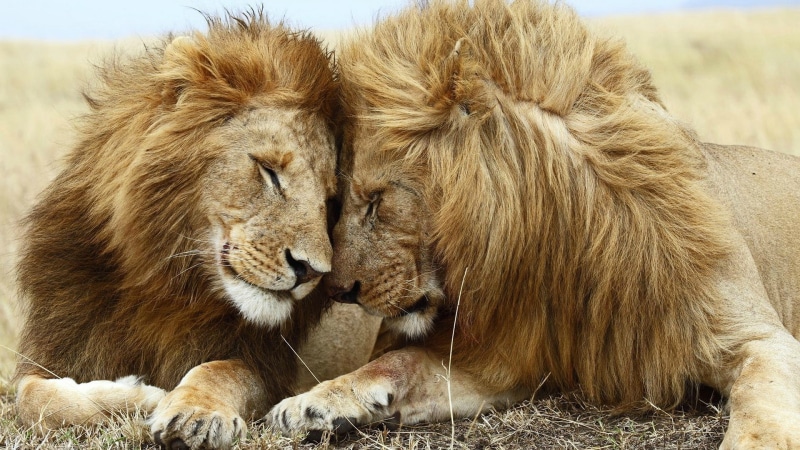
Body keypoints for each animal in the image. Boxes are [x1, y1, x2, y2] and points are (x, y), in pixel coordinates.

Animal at [13, 10, 380, 450]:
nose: (311, 271)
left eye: (329, 200)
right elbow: (32, 398)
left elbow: (219, 370)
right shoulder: (56, 346)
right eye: (269, 171)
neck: (166, 281)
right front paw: (138, 395)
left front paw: (194, 413)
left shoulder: (265, 366)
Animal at [269, 1, 800, 447]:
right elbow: (402, 361)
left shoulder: (760, 340)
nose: (337, 290)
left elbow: (760, 423)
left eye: (377, 201)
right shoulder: (510, 355)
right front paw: (312, 403)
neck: (564, 236)